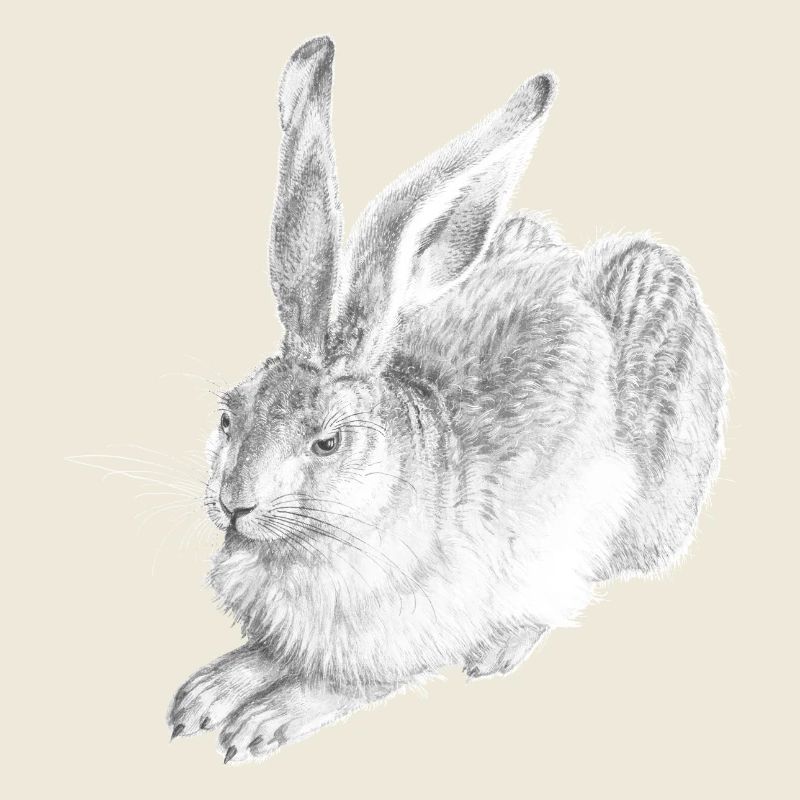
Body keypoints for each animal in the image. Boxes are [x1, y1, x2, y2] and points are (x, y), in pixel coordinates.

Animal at [168, 35, 727, 763]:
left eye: (328, 442)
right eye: (229, 417)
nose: (235, 504)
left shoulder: (409, 635)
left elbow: (344, 682)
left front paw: (265, 717)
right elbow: (266, 653)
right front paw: (208, 692)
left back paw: (502, 646)